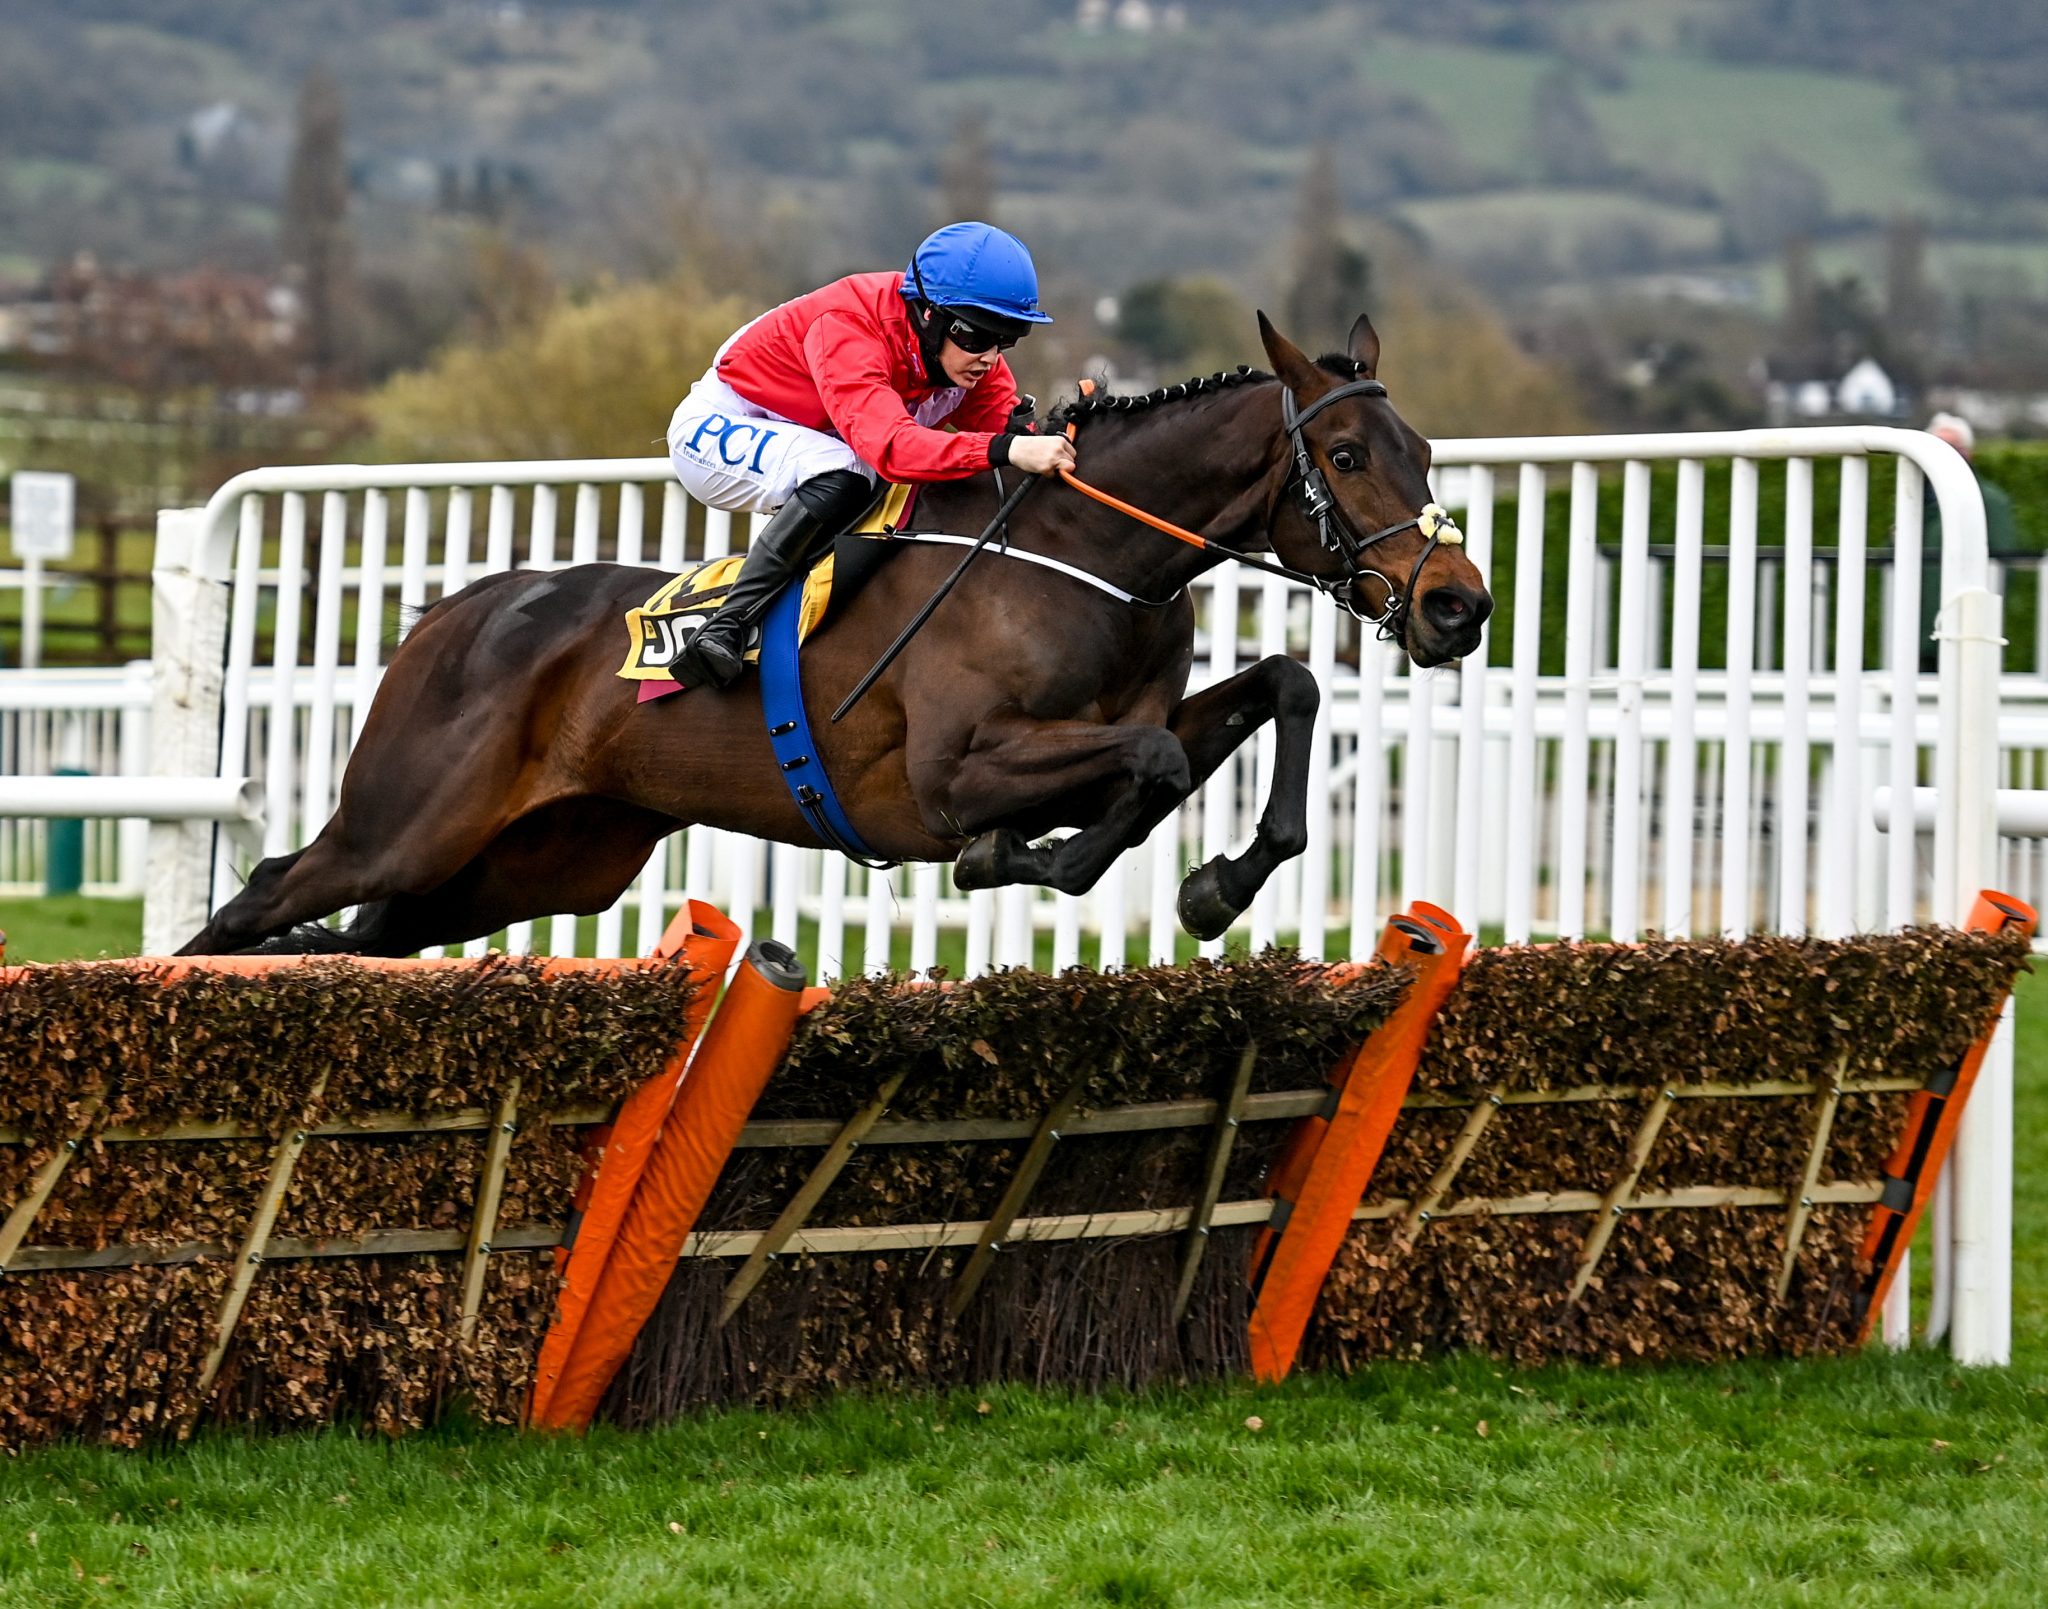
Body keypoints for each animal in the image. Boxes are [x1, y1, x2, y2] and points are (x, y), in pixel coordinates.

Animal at [180, 311, 1490, 953]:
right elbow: (1149, 766)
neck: (1093, 558)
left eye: (1423, 449)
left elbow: (1275, 690)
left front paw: (1217, 883)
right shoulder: (951, 770)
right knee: (263, 895)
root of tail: (460, 610)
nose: (1456, 604)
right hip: (406, 824)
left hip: (535, 860)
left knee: (366, 934)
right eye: (1344, 454)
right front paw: (1022, 860)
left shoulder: (1121, 720)